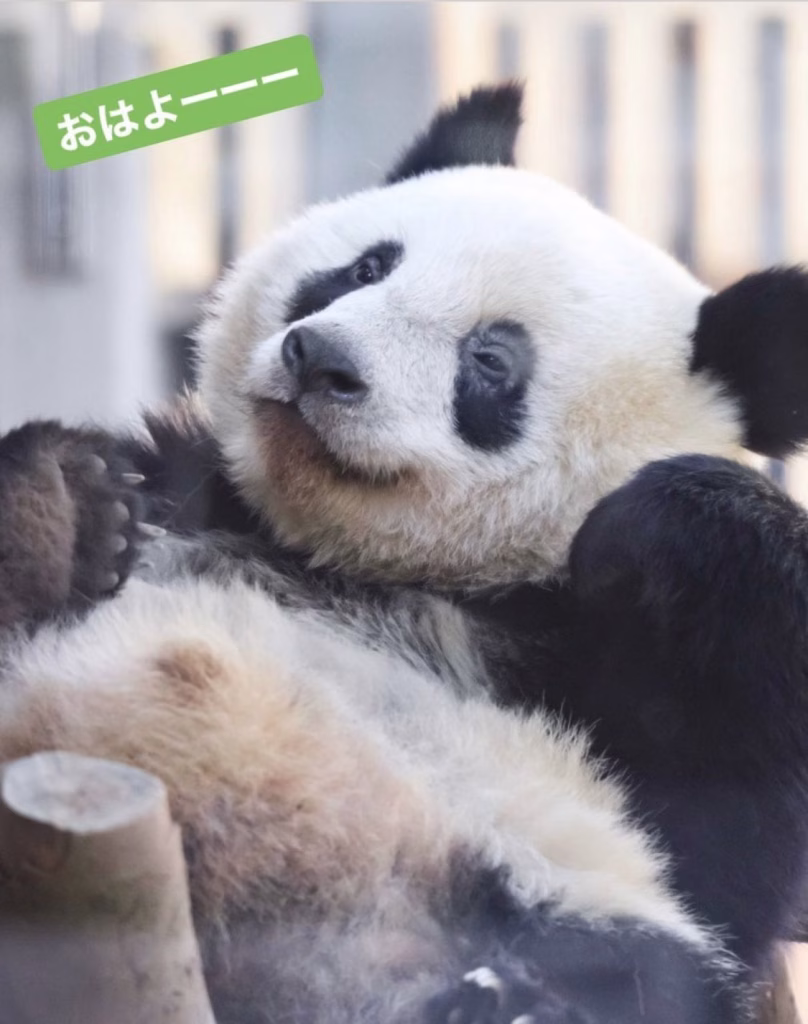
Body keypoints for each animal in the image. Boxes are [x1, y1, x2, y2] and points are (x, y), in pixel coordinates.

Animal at [2, 83, 808, 1024]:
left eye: (490, 359)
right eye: (366, 269)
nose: (320, 357)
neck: (350, 560)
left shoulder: (626, 695)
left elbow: (728, 830)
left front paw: (657, 515)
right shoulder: (185, 485)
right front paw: (76, 501)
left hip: (548, 879)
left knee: (634, 967)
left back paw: (508, 1001)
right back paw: (53, 513)